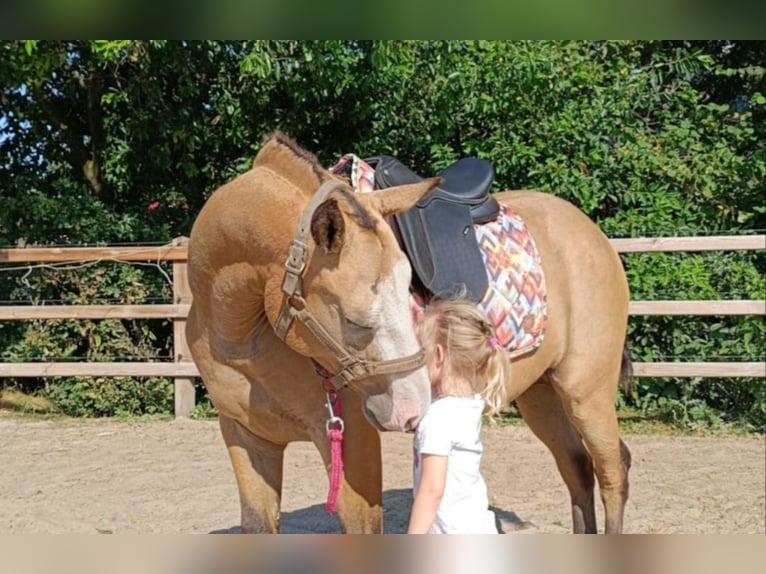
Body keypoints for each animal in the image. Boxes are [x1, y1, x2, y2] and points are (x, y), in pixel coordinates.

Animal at [186, 131, 632, 534]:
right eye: (355, 320)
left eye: (407, 293)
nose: (414, 409)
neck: (243, 335)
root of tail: (591, 232)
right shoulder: (246, 438)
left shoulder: (353, 441)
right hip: (541, 396)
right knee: (577, 467)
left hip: (586, 392)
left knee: (612, 471)